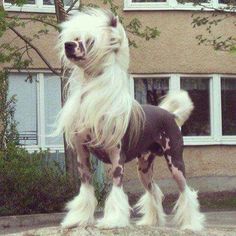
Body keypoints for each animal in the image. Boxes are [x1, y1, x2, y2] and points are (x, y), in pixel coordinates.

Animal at [54, 6, 205, 230]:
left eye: (89, 41)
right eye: (74, 38)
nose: (68, 45)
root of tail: (171, 115)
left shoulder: (117, 156)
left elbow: (116, 190)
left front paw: (112, 221)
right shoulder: (82, 154)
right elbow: (86, 189)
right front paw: (78, 219)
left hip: (175, 162)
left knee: (186, 191)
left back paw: (191, 225)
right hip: (144, 167)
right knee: (153, 190)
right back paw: (151, 221)